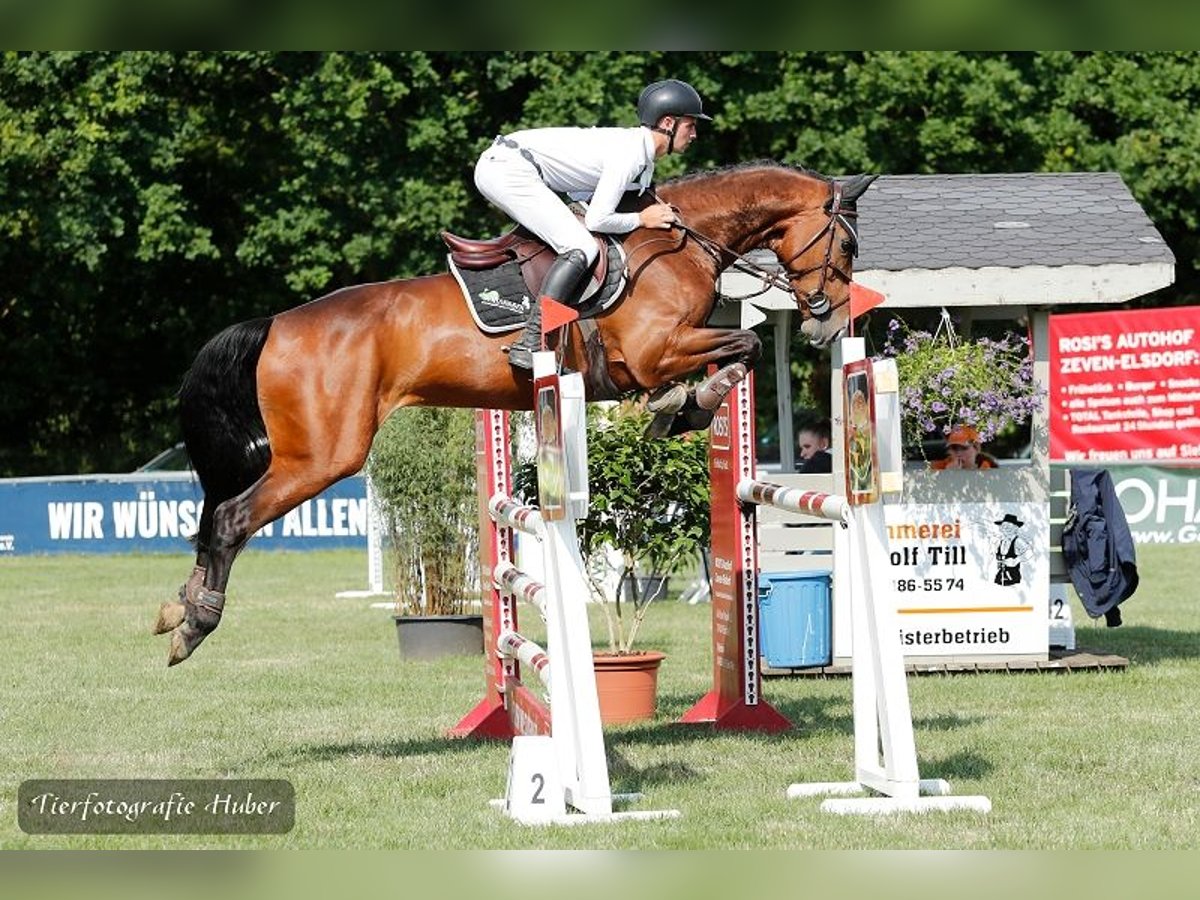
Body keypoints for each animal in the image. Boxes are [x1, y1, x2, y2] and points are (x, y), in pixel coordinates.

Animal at [157, 158, 873, 667]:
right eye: (846, 247)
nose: (829, 324)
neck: (678, 242)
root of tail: (274, 324)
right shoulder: (653, 352)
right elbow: (742, 346)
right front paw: (683, 405)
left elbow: (736, 352)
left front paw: (680, 407)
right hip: (323, 455)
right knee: (230, 517)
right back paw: (195, 622)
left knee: (215, 517)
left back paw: (178, 608)